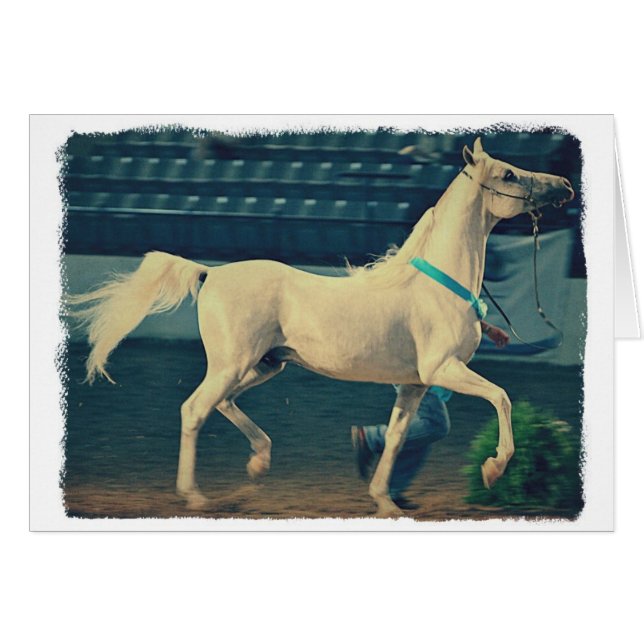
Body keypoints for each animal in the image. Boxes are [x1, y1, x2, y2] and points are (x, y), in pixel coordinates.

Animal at [67, 137, 575, 517]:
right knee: (195, 410)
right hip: (232, 364)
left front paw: (384, 501)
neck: (436, 284)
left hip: (266, 365)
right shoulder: (442, 370)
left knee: (223, 404)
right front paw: (494, 468)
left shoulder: (414, 385)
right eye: (508, 174)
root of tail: (209, 273)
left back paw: (259, 462)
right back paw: (194, 495)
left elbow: (396, 438)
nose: (566, 185)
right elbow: (501, 397)